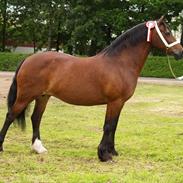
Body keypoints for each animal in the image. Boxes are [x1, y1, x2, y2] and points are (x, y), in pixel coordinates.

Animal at [0, 16, 182, 162]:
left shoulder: (120, 103)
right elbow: (108, 126)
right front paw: (104, 155)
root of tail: (28, 58)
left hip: (43, 96)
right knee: (10, 116)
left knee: (36, 118)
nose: (180, 52)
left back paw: (38, 148)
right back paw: (2, 147)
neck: (120, 63)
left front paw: (112, 151)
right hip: (25, 96)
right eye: (167, 33)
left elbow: (114, 126)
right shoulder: (115, 102)